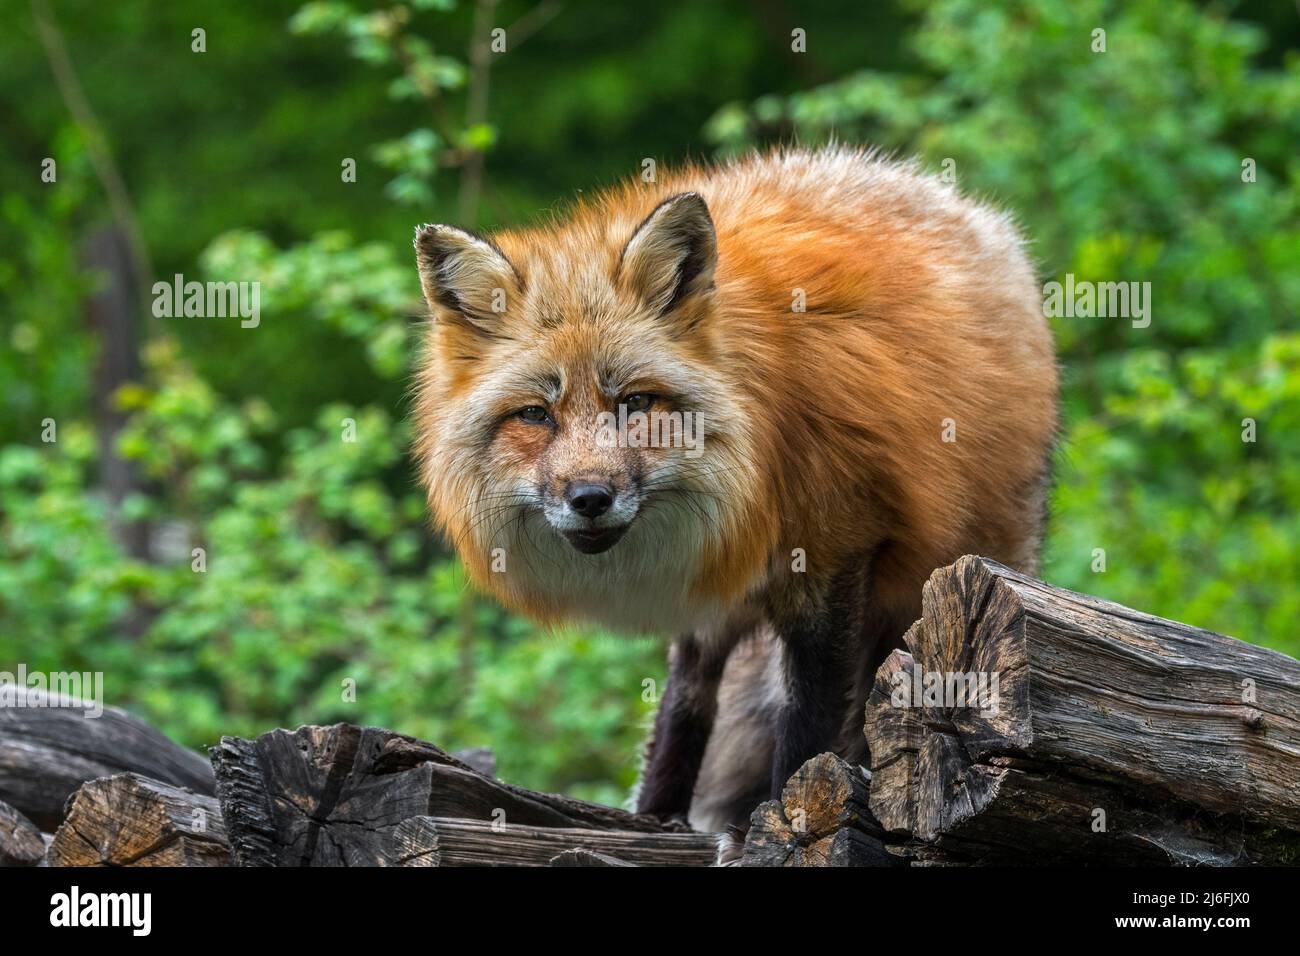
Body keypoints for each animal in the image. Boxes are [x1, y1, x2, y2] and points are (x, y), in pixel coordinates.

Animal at [412, 145, 1058, 834]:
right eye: (535, 415)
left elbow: (808, 724)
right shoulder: (707, 575)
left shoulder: (837, 556)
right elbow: (682, 709)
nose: (589, 498)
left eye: (635, 403)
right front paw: (657, 818)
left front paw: (786, 819)